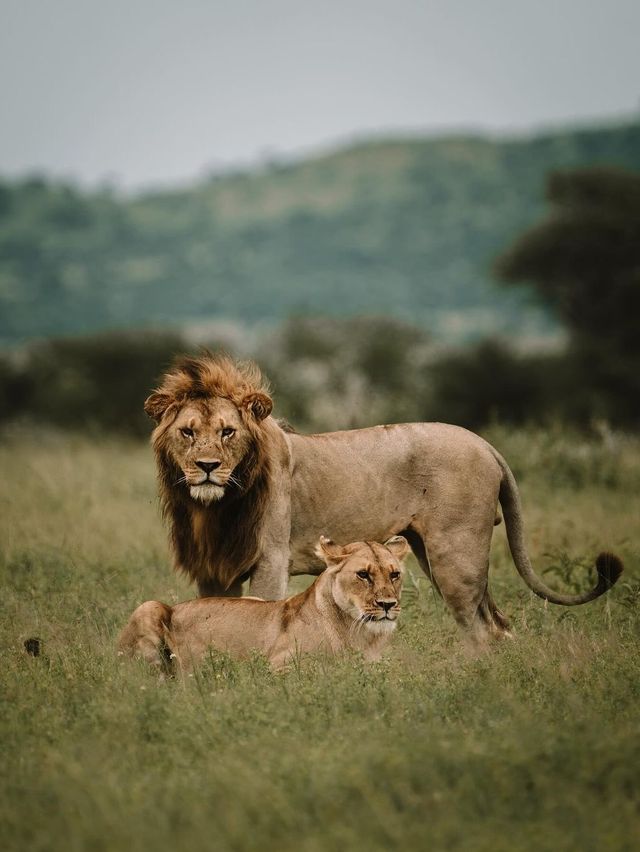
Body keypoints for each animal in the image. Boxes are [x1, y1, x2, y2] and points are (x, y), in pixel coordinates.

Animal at [144, 352, 620, 644]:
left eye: (228, 431)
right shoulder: (212, 568)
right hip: (433, 553)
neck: (213, 508)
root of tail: (485, 443)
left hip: (456, 556)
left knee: (482, 629)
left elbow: (262, 612)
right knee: (497, 626)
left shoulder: (270, 561)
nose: (207, 466)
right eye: (187, 432)